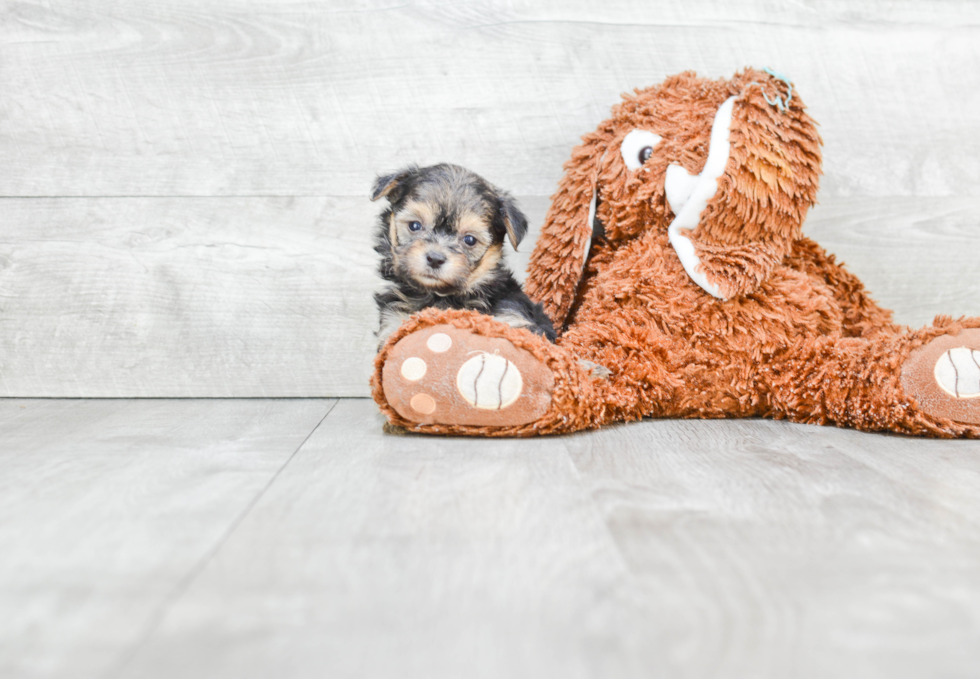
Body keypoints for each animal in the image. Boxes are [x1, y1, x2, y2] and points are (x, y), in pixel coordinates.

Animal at [372, 162, 556, 348]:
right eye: (415, 225)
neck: (440, 296)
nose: (435, 258)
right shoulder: (394, 322)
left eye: (469, 240)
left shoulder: (513, 318)